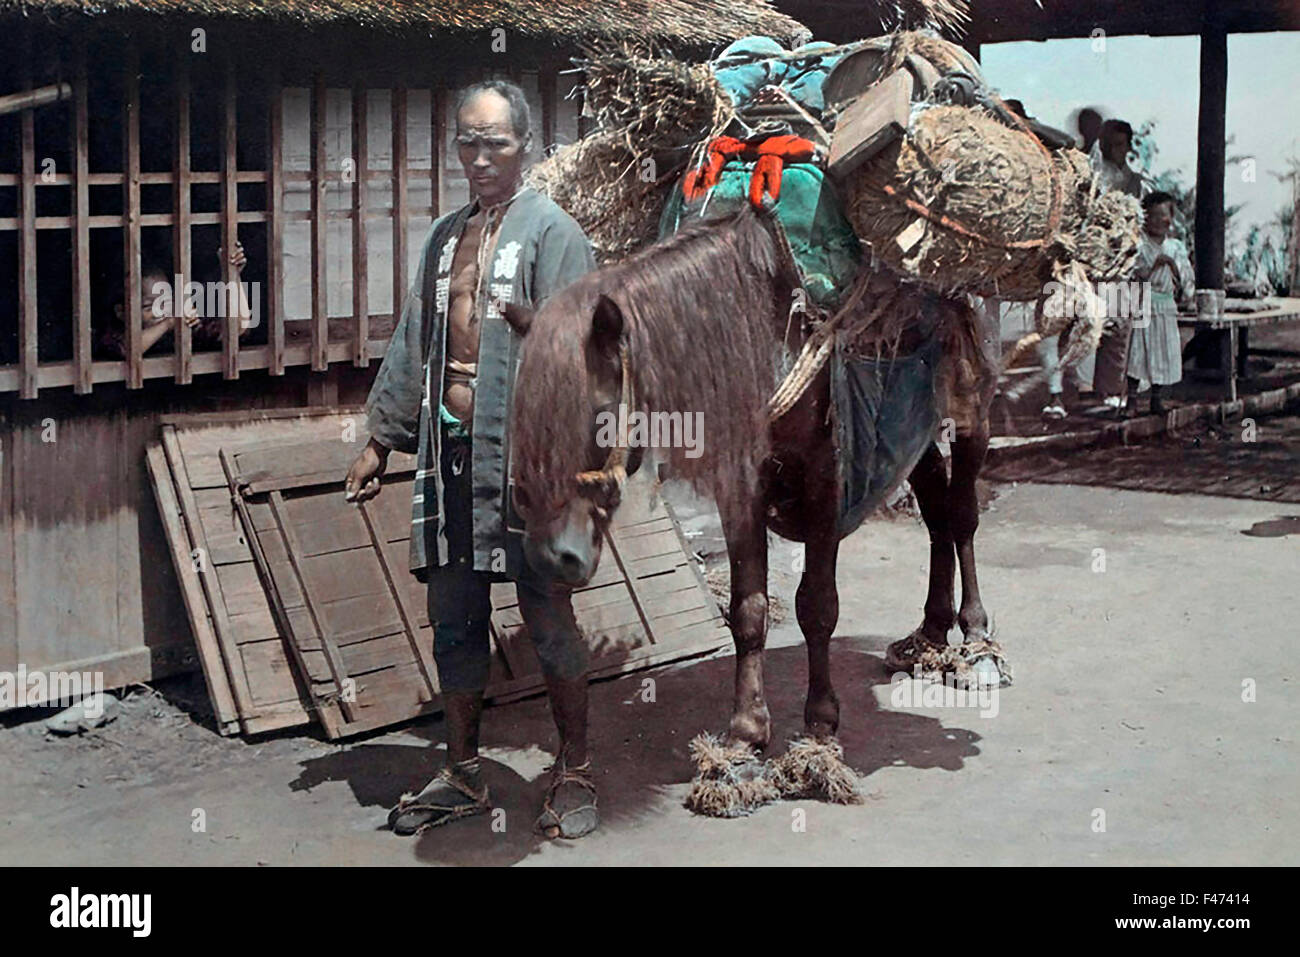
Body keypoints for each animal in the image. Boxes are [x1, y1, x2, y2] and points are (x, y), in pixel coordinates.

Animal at [506, 201, 993, 764]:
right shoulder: (740, 483)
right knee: (936, 510)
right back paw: (930, 633)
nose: (551, 557)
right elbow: (747, 608)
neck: (764, 326)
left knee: (962, 515)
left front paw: (820, 721)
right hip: (909, 417)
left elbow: (817, 605)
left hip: (969, 406)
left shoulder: (827, 476)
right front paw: (747, 728)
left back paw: (976, 638)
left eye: (601, 413)